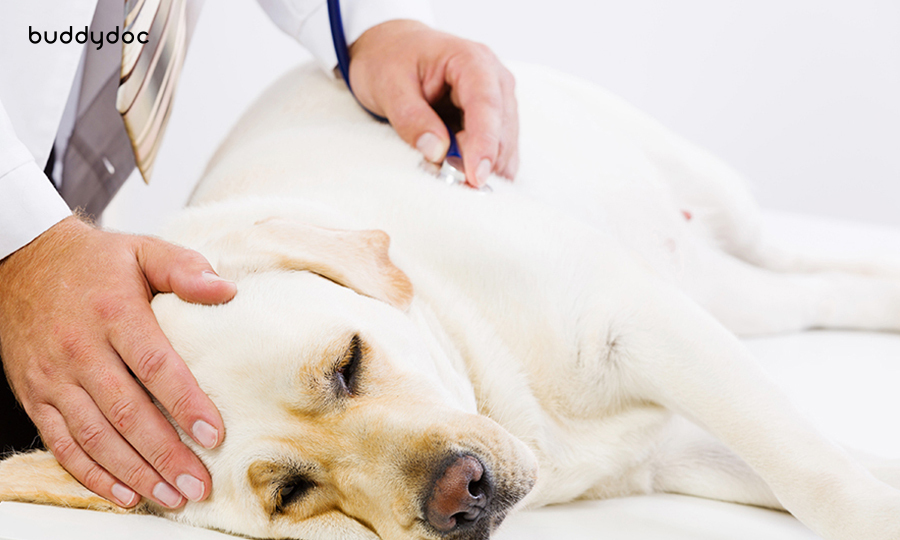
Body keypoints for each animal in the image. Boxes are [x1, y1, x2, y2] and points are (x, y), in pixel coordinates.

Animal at [1, 63, 900, 540]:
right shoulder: (671, 448)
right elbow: (825, 464)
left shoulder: (641, 325)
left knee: (797, 253)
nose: (457, 493)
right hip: (729, 296)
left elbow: (821, 475)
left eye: (348, 363)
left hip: (714, 218)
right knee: (810, 292)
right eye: (292, 491)